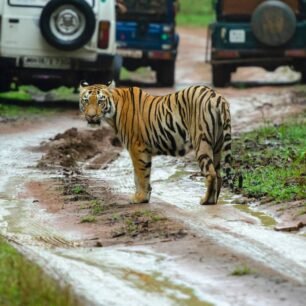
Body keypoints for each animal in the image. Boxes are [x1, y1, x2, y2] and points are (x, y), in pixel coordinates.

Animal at [79, 81, 232, 206]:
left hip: (201, 141)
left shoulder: (137, 148)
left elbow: (140, 175)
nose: (91, 116)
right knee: (218, 174)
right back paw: (214, 200)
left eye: (100, 101)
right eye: (86, 101)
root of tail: (216, 96)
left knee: (211, 173)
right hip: (217, 145)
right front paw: (144, 196)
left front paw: (140, 198)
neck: (113, 113)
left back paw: (206, 200)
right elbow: (140, 175)